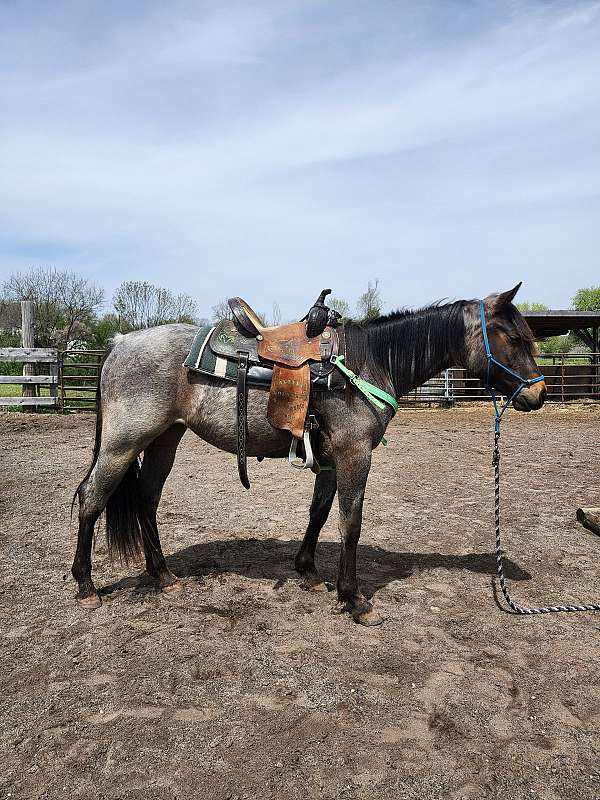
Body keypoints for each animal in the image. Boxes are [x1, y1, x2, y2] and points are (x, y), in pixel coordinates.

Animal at [72, 283, 546, 625]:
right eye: (513, 336)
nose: (538, 394)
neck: (367, 363)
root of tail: (119, 343)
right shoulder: (356, 454)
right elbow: (350, 523)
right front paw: (354, 599)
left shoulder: (332, 458)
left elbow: (319, 513)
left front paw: (309, 573)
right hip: (122, 444)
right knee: (92, 499)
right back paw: (86, 586)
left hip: (164, 441)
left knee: (147, 500)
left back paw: (164, 576)